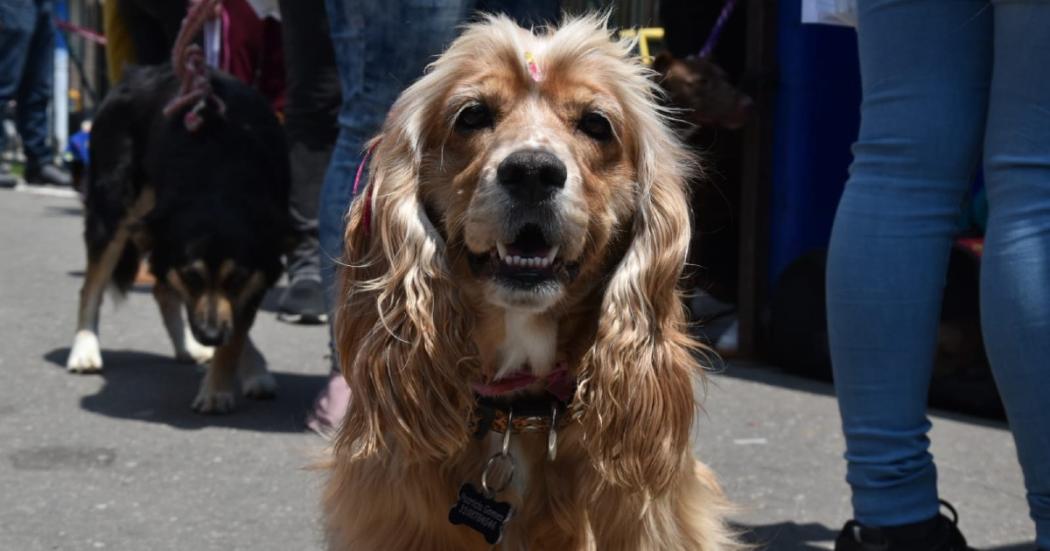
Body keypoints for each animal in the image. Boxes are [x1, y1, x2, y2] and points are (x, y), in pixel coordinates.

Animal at [66, 55, 289, 411]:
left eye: (237, 279)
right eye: (192, 277)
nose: (210, 336)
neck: (219, 174)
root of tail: (137, 72)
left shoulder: (259, 267)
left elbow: (236, 333)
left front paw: (222, 381)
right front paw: (219, 388)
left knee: (163, 291)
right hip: (113, 209)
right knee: (92, 287)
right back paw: (85, 348)